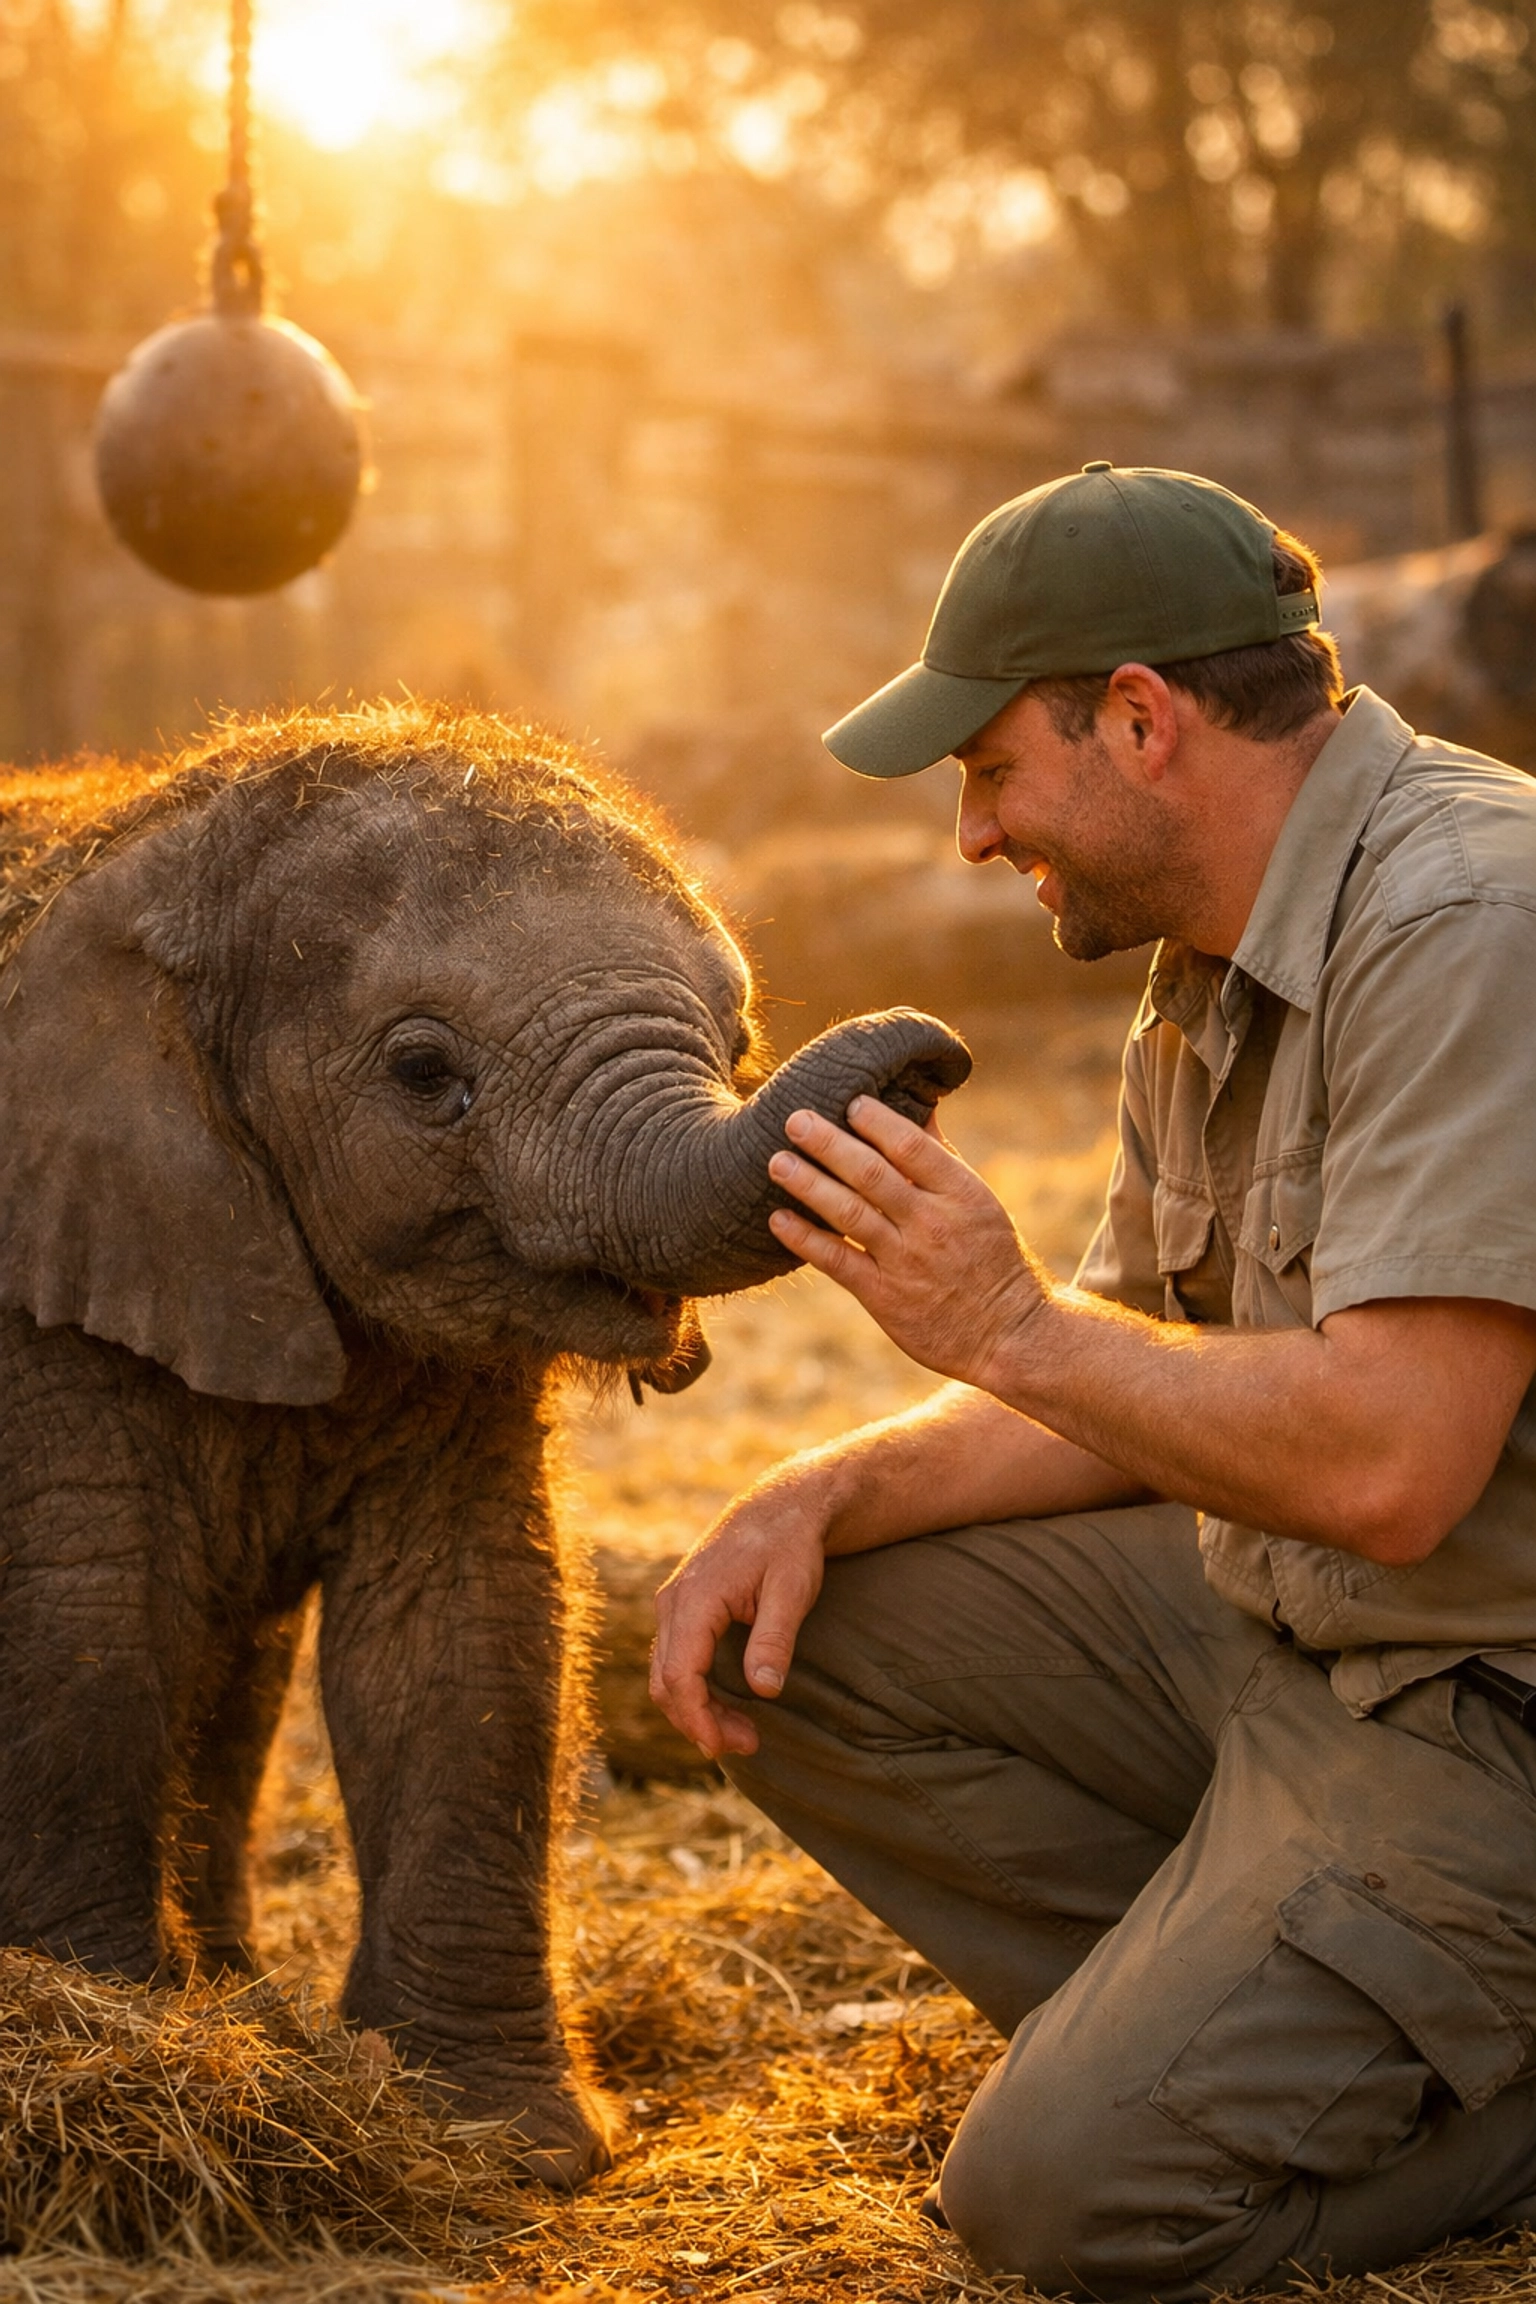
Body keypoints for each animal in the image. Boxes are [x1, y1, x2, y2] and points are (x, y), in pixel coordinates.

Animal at [0, 705, 969, 2186]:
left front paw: (502, 2144)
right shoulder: (48, 1287)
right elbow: (94, 1613)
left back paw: (248, 2008)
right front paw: (109, 2031)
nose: (931, 1053)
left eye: (739, 1034)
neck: (160, 853)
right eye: (423, 1075)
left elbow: (466, 1624)